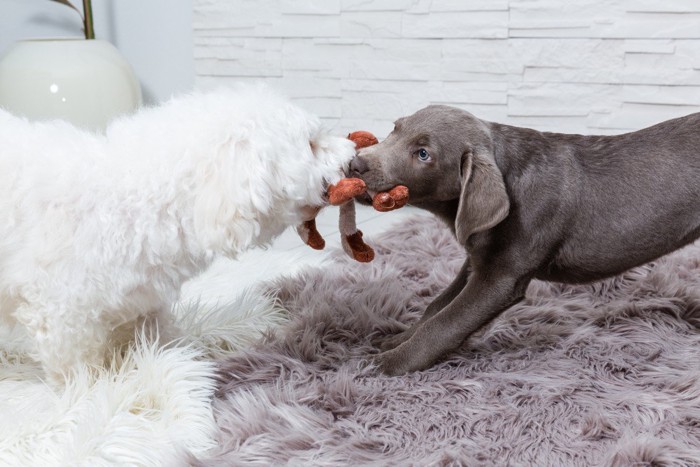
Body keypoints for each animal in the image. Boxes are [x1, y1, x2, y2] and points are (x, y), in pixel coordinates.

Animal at [0, 84, 352, 384]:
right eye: (311, 144)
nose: (352, 154)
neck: (139, 199)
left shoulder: (141, 300)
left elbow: (155, 339)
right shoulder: (62, 313)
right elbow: (78, 369)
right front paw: (92, 391)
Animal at [352, 106, 700, 376]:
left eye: (424, 154)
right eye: (395, 129)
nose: (354, 164)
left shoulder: (501, 277)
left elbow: (446, 322)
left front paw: (388, 362)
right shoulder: (477, 259)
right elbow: (436, 307)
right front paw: (397, 340)